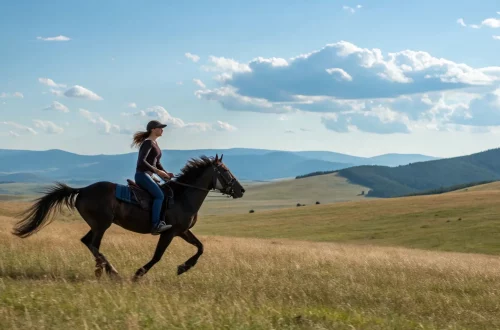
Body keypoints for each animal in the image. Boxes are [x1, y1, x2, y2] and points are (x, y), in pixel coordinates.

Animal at [10, 153, 245, 280]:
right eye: (226, 172)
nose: (241, 190)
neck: (182, 197)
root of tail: (83, 190)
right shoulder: (168, 233)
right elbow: (158, 256)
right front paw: (138, 274)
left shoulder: (182, 231)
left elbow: (201, 247)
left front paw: (183, 268)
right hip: (102, 224)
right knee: (93, 244)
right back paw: (111, 271)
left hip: (97, 225)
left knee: (87, 242)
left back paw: (101, 271)